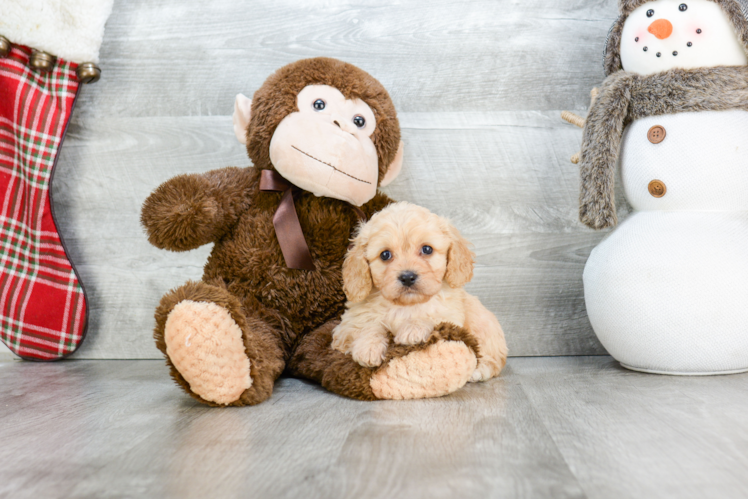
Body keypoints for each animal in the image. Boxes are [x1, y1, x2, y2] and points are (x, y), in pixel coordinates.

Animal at [334, 201, 506, 380]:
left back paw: (479, 371)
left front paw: (413, 329)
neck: (405, 305)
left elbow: (431, 316)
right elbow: (367, 325)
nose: (407, 277)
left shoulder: (450, 316)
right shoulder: (346, 326)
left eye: (427, 249)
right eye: (385, 254)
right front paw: (368, 347)